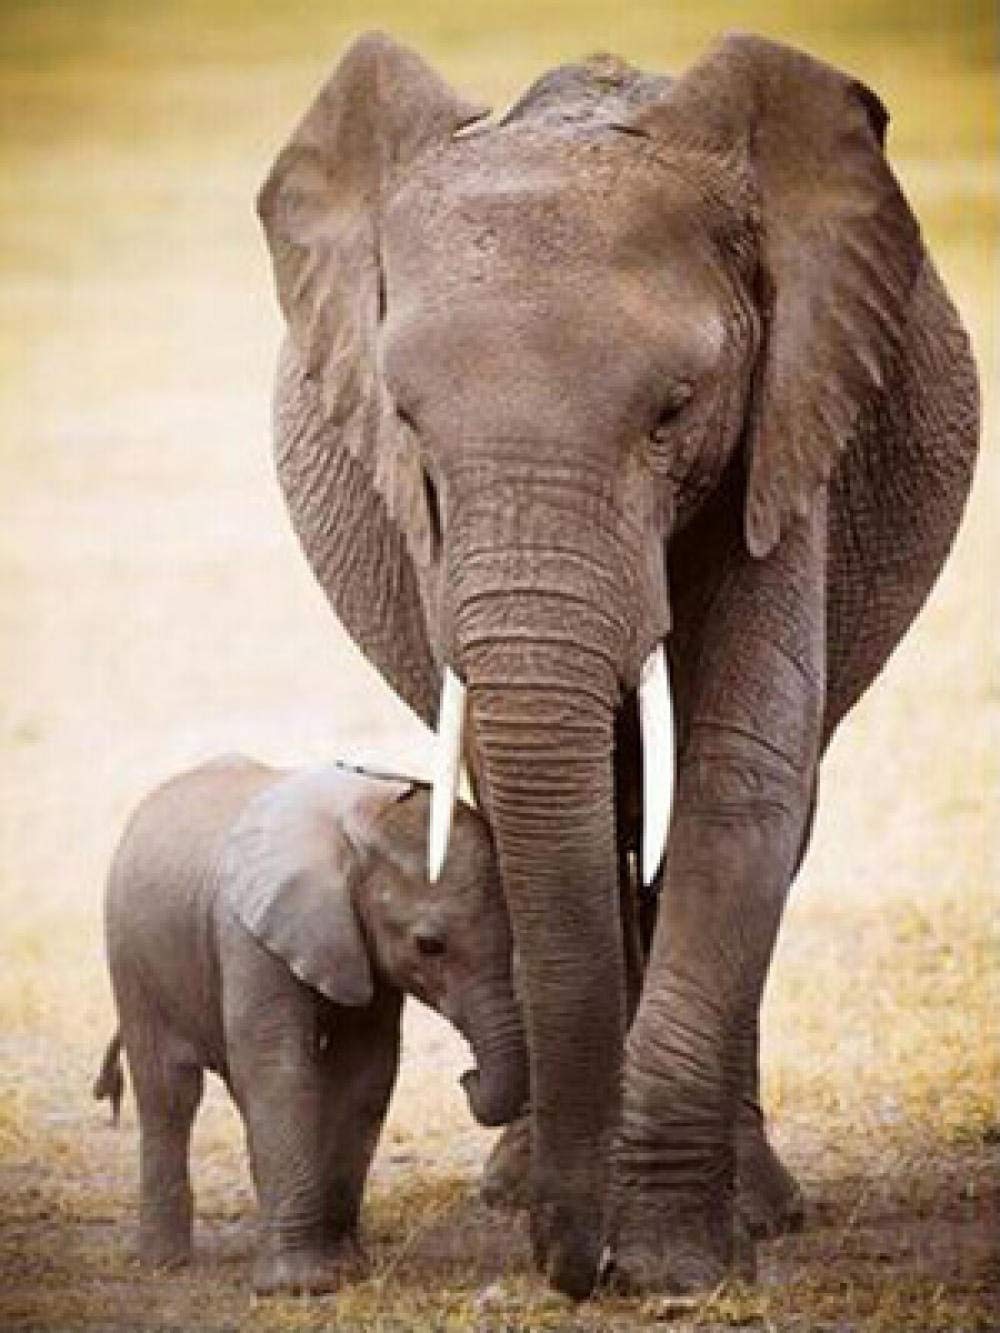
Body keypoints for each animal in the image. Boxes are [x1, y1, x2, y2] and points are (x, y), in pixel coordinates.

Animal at [95, 755, 526, 1295]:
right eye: (430, 946)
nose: (467, 1077)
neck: (360, 821)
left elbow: (365, 1070)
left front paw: (345, 1267)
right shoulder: (250, 934)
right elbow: (279, 1068)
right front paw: (299, 1286)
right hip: (131, 957)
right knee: (168, 1093)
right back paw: (163, 1263)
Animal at [256, 32, 979, 1298]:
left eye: (674, 411)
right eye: (407, 422)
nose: (572, 1265)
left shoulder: (791, 414)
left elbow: (742, 770)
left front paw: (674, 1267)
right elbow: (551, 790)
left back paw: (756, 1205)